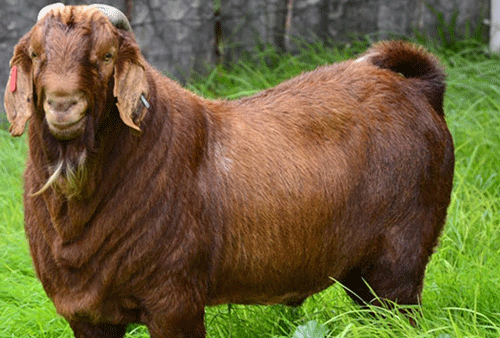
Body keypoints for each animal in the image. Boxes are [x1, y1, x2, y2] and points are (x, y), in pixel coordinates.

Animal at [3, 3, 456, 338]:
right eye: (37, 55)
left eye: (107, 56)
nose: (64, 105)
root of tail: (419, 88)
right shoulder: (88, 315)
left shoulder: (175, 300)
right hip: (361, 272)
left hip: (401, 256)